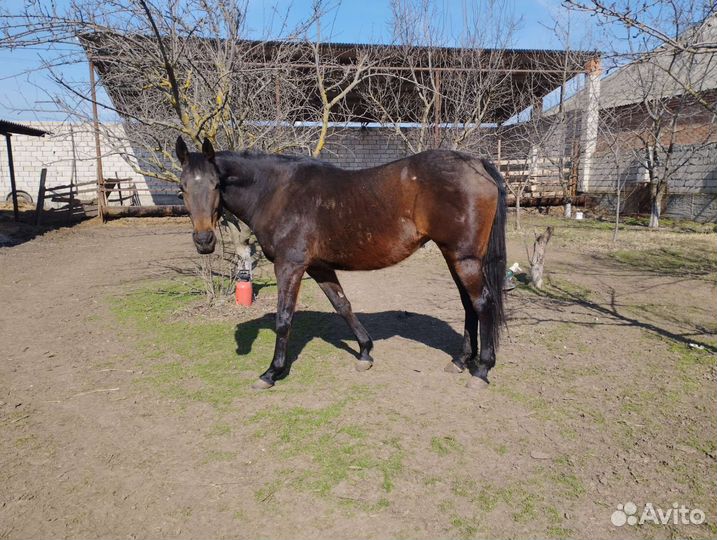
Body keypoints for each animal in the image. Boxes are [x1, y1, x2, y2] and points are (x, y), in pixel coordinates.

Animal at [175, 136, 507, 390]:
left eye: (216, 184)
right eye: (182, 188)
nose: (204, 240)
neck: (276, 192)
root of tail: (476, 163)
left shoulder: (289, 265)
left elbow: (284, 319)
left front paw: (271, 372)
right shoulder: (318, 266)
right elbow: (342, 305)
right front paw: (365, 353)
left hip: (464, 258)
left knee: (482, 303)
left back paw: (481, 370)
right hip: (455, 257)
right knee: (468, 305)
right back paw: (461, 361)